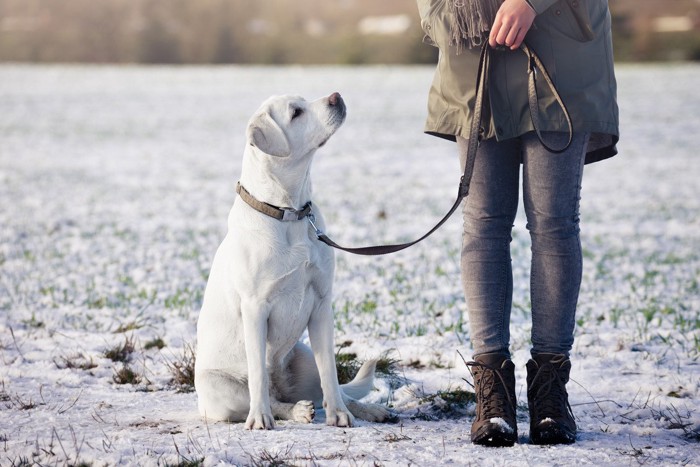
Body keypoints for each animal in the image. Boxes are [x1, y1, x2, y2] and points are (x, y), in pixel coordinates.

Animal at [194, 92, 392, 432]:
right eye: (296, 112)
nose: (336, 96)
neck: (289, 212)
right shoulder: (255, 308)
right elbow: (258, 376)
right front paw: (260, 419)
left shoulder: (322, 304)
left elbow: (331, 374)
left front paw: (340, 415)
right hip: (220, 389)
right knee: (269, 398)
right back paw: (293, 411)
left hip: (303, 356)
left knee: (328, 388)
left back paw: (365, 410)